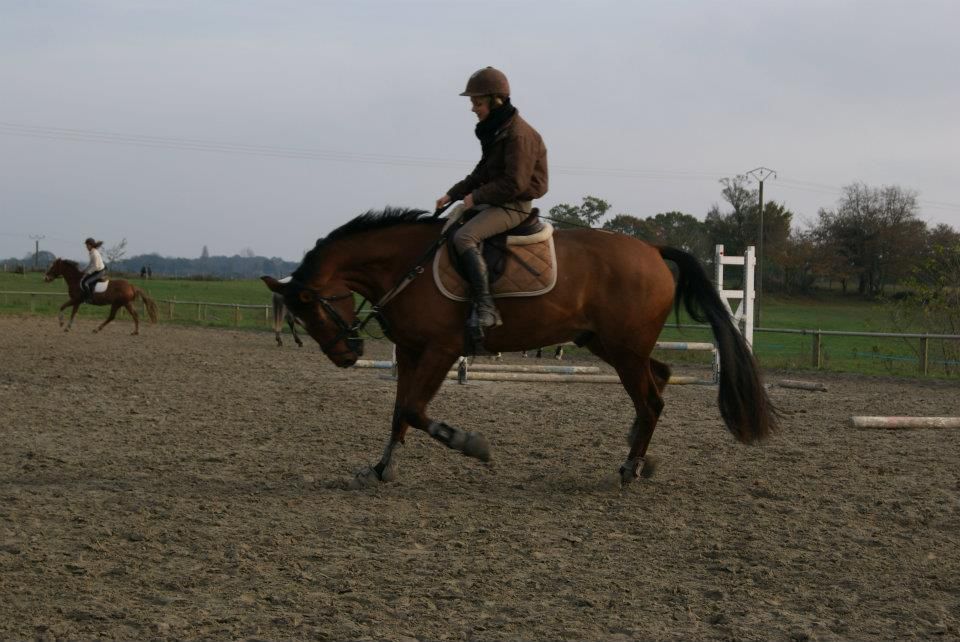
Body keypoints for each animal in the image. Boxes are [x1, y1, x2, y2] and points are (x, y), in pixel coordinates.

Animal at [262, 207, 777, 486]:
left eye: (310, 305)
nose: (345, 356)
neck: (407, 265)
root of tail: (652, 249)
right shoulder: (410, 353)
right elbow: (398, 412)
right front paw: (379, 469)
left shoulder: (441, 350)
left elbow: (413, 409)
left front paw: (469, 444)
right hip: (607, 344)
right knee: (661, 378)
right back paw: (639, 453)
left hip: (623, 349)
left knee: (651, 399)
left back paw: (630, 466)